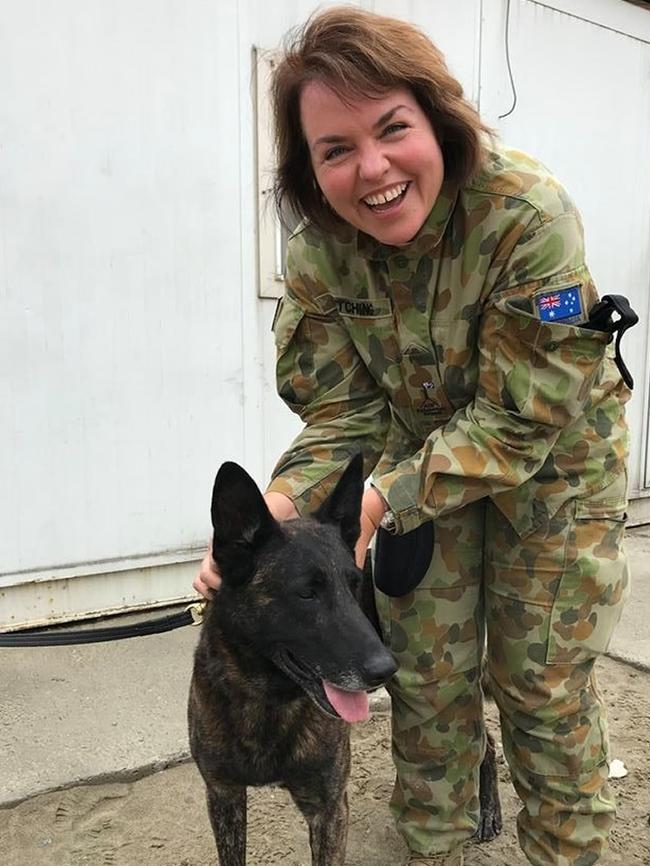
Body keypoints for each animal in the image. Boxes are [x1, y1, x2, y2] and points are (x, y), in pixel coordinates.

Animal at [187, 456, 502, 860]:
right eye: (306, 593)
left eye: (354, 584)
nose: (384, 668)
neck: (270, 700)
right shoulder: (223, 796)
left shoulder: (330, 808)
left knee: (481, 740)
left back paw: (488, 810)